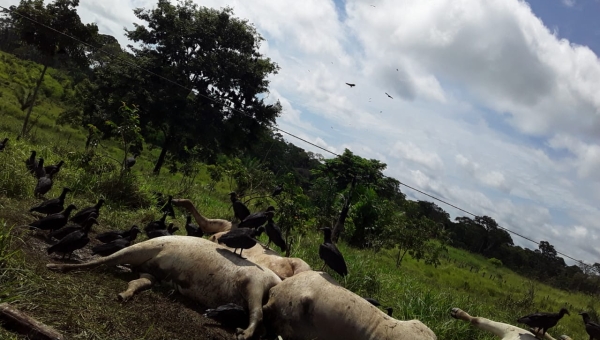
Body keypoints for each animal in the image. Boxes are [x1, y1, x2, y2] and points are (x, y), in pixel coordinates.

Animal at [47, 236, 282, 340]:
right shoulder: (255, 282)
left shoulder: (255, 284)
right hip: (145, 248)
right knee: (108, 260)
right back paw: (54, 266)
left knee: (138, 280)